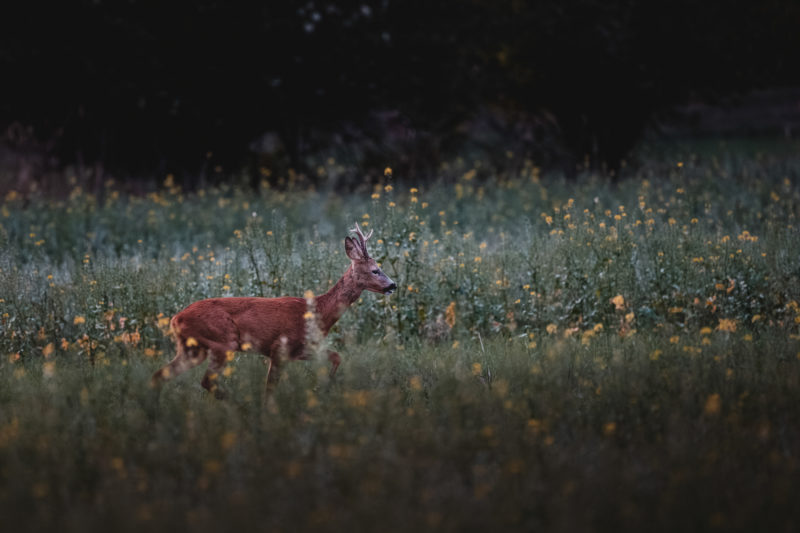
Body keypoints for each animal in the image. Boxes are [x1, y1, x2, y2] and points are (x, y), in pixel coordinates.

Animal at [150, 222, 394, 396]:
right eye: (375, 270)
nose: (393, 285)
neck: (318, 312)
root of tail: (175, 319)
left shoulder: (301, 349)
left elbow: (336, 357)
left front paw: (324, 386)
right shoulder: (279, 348)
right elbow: (269, 390)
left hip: (193, 348)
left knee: (160, 374)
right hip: (222, 341)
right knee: (206, 380)